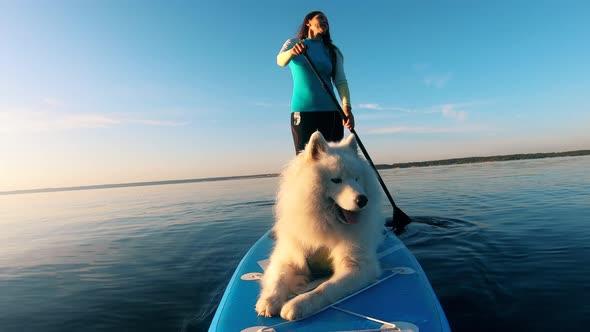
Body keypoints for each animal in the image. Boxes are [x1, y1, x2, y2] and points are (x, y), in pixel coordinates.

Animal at [256, 131, 386, 320]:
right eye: (336, 180)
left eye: (356, 178)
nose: (363, 200)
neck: (325, 223)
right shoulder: (288, 255)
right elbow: (278, 277)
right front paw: (269, 301)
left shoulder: (359, 266)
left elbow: (324, 288)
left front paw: (298, 305)